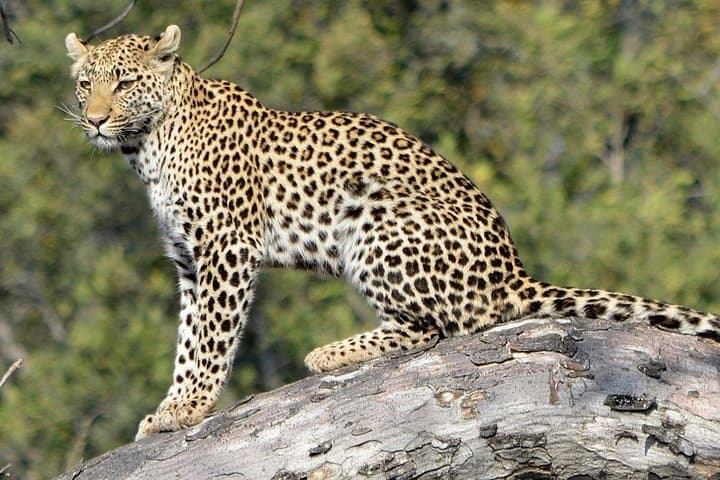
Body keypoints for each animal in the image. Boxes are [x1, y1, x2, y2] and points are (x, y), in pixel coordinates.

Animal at [64, 25, 720, 440]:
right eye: (85, 84)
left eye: (125, 84)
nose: (94, 119)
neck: (147, 146)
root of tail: (513, 273)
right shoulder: (189, 259)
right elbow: (185, 339)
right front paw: (168, 407)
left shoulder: (226, 249)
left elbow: (209, 339)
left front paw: (190, 407)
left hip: (376, 214)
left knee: (442, 326)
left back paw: (331, 352)